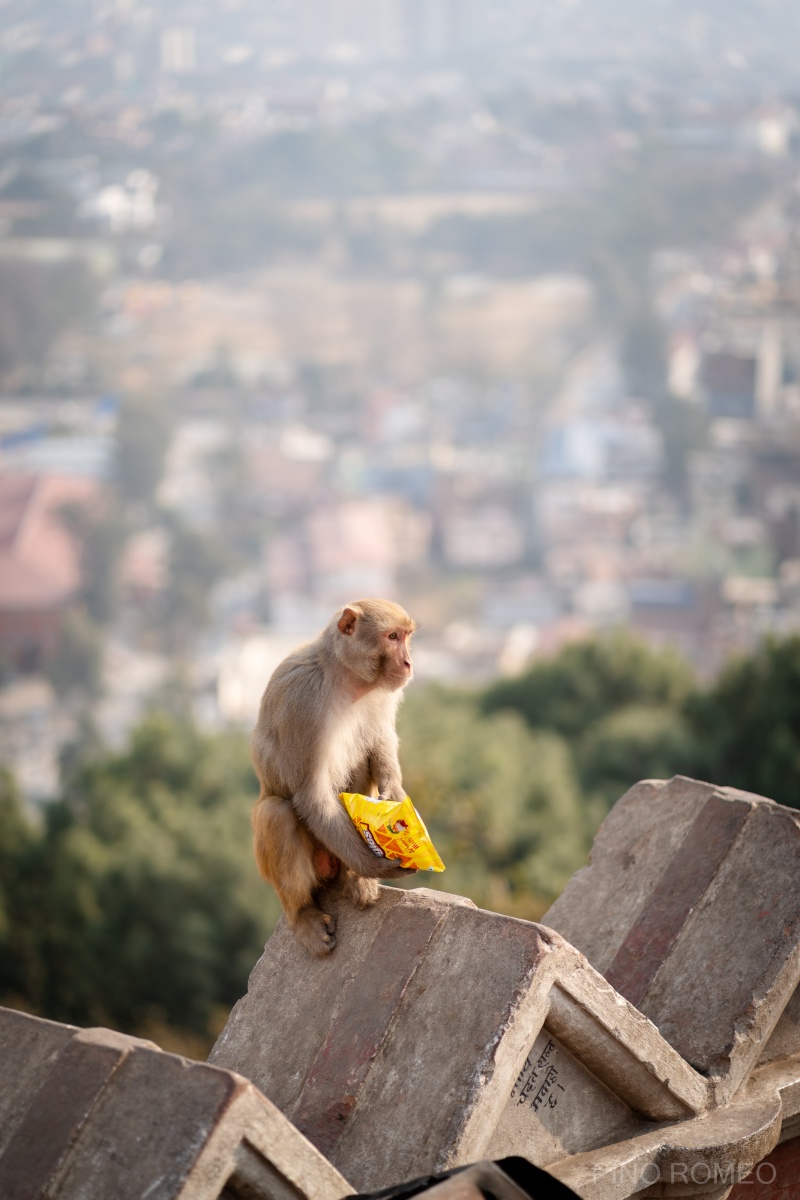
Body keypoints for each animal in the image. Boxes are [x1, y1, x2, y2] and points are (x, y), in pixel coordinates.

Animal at [253, 600, 419, 955]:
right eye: (392, 637)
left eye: (407, 636)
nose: (408, 662)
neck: (348, 679)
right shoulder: (302, 701)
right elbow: (310, 793)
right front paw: (376, 865)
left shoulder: (382, 693)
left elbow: (380, 739)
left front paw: (394, 793)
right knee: (275, 813)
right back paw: (303, 914)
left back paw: (354, 880)